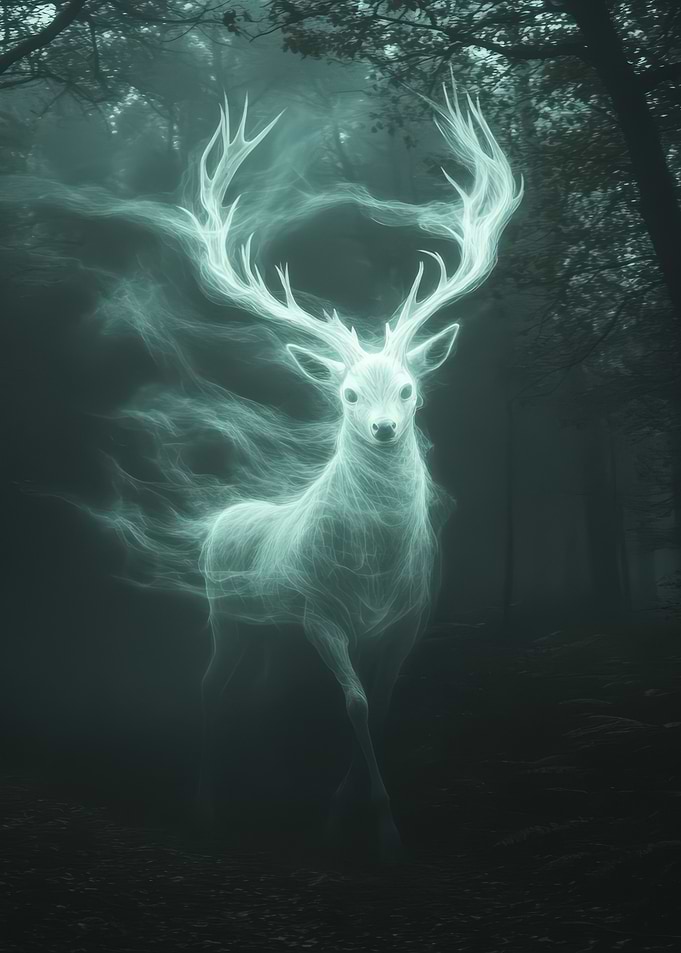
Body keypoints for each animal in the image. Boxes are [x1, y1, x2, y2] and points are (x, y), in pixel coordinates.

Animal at [188, 80, 522, 858]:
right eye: (346, 393)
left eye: (408, 387)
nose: (383, 427)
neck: (372, 575)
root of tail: (220, 518)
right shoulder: (318, 610)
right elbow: (356, 700)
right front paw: (380, 828)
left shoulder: (411, 617)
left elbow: (385, 700)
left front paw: (345, 811)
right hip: (228, 613)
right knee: (210, 692)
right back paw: (210, 812)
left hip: (266, 633)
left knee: (251, 696)